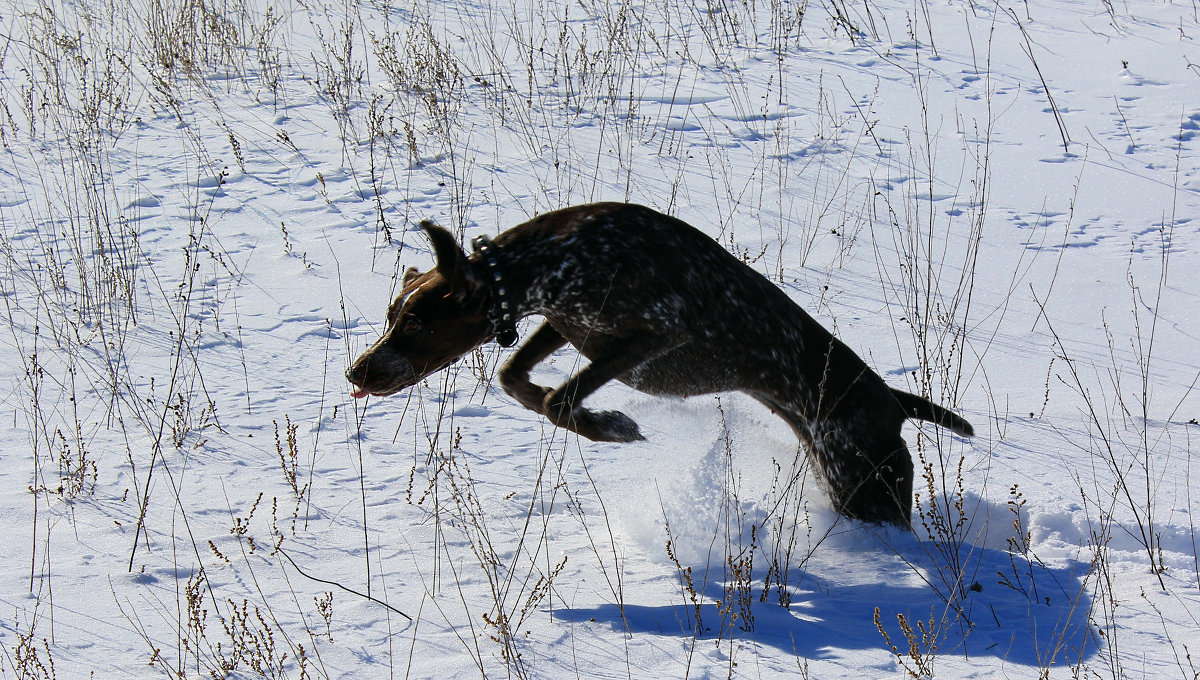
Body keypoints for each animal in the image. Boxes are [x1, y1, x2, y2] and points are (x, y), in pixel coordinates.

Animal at [343, 202, 969, 527]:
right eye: (392, 315)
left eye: (415, 323)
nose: (356, 373)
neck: (552, 258)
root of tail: (893, 402)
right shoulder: (566, 324)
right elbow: (515, 379)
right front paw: (589, 419)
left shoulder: (655, 334)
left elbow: (558, 398)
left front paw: (610, 426)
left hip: (865, 484)